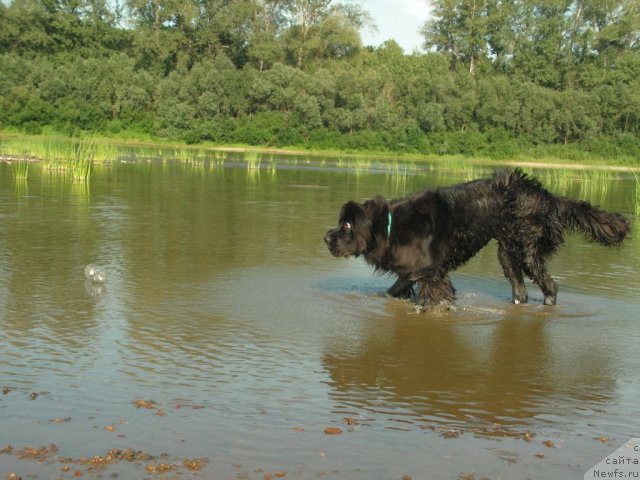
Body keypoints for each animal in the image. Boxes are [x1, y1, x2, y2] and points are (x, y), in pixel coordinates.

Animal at [324, 169, 632, 312]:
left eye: (346, 225)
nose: (326, 237)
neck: (391, 225)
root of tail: (547, 196)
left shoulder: (432, 273)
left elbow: (431, 297)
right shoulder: (412, 272)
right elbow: (394, 290)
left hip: (529, 249)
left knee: (550, 287)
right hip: (507, 252)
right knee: (520, 291)